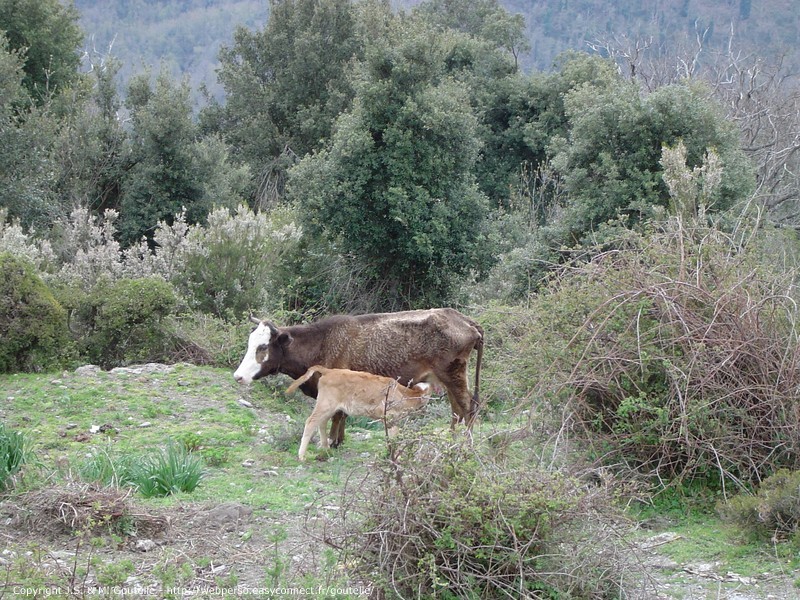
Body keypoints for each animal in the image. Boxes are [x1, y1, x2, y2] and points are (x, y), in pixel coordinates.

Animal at [231, 310, 482, 446]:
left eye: (263, 347)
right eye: (251, 343)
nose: (238, 376)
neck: (323, 342)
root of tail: (464, 320)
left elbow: (337, 416)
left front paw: (333, 441)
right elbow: (341, 415)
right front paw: (338, 440)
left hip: (454, 376)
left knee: (468, 408)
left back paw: (464, 447)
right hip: (448, 380)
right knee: (457, 411)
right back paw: (452, 441)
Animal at [288, 366, 432, 460]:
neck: (403, 394)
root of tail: (330, 370)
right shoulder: (390, 417)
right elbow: (393, 437)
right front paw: (394, 456)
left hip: (329, 407)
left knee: (321, 423)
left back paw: (326, 448)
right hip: (325, 405)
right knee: (311, 422)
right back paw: (301, 456)